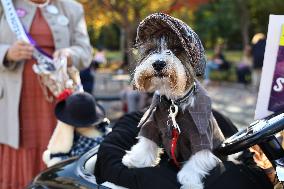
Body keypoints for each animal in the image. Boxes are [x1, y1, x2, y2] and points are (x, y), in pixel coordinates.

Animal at [121, 12, 224, 188]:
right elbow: (146, 142)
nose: (158, 63)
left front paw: (189, 180)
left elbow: (199, 157)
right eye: (151, 50)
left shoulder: (201, 134)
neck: (173, 103)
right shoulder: (152, 123)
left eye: (177, 49)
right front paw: (135, 159)